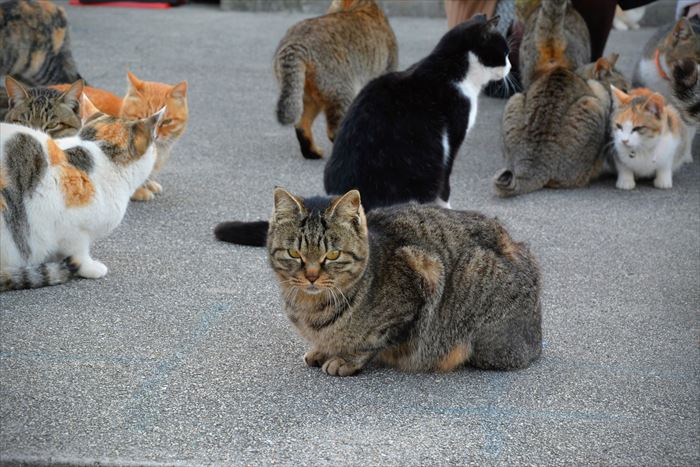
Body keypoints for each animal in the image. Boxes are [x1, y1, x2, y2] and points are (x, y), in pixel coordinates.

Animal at [266, 187, 544, 376]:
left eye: (332, 255)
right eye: (294, 253)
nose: (311, 276)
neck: (310, 308)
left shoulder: (423, 274)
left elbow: (371, 341)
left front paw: (345, 358)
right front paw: (324, 349)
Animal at [274, 0, 396, 159]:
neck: (363, 6)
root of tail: (295, 44)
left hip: (306, 96)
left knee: (302, 124)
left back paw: (313, 152)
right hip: (341, 92)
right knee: (334, 131)